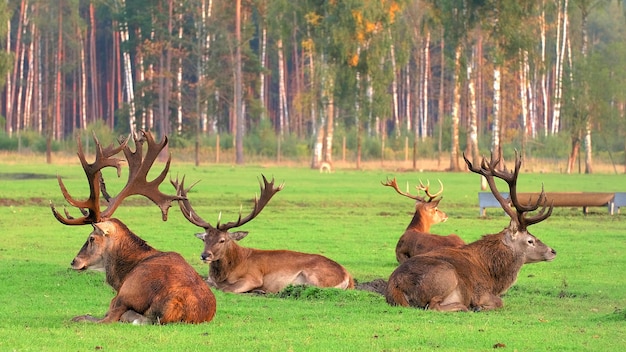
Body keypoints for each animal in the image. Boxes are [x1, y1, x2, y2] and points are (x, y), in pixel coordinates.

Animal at [48, 131, 216, 324]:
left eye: (91, 238)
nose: (74, 261)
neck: (122, 274)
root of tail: (175, 305)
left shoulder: (119, 296)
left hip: (125, 295)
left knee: (102, 318)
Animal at [171, 176, 354, 294]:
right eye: (204, 239)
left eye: (222, 240)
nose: (205, 255)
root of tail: (348, 276)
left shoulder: (253, 277)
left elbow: (225, 288)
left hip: (314, 276)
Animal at [386, 153, 556, 312]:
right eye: (530, 240)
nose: (553, 251)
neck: (494, 277)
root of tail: (395, 286)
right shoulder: (481, 292)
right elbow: (500, 302)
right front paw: (479, 306)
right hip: (447, 275)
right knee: (433, 305)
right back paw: (466, 307)